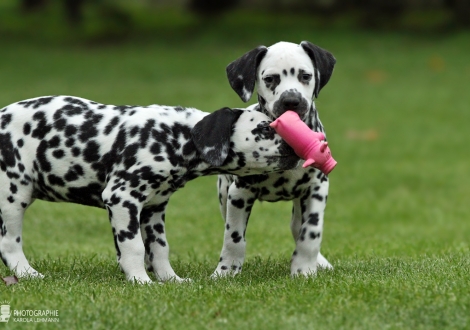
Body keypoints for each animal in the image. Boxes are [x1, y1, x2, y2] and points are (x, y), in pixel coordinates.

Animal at [0, 96, 298, 284]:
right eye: (264, 128)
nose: (297, 144)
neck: (173, 135)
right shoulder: (122, 198)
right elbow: (133, 247)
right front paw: (141, 281)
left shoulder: (153, 209)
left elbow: (159, 249)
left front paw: (171, 280)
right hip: (12, 197)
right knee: (10, 244)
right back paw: (28, 274)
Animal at [213, 42, 338, 278]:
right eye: (270, 79)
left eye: (305, 76)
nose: (291, 101)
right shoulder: (239, 194)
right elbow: (233, 237)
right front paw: (226, 271)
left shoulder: (317, 188)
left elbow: (311, 232)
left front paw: (304, 269)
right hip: (224, 194)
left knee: (297, 226)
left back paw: (321, 262)